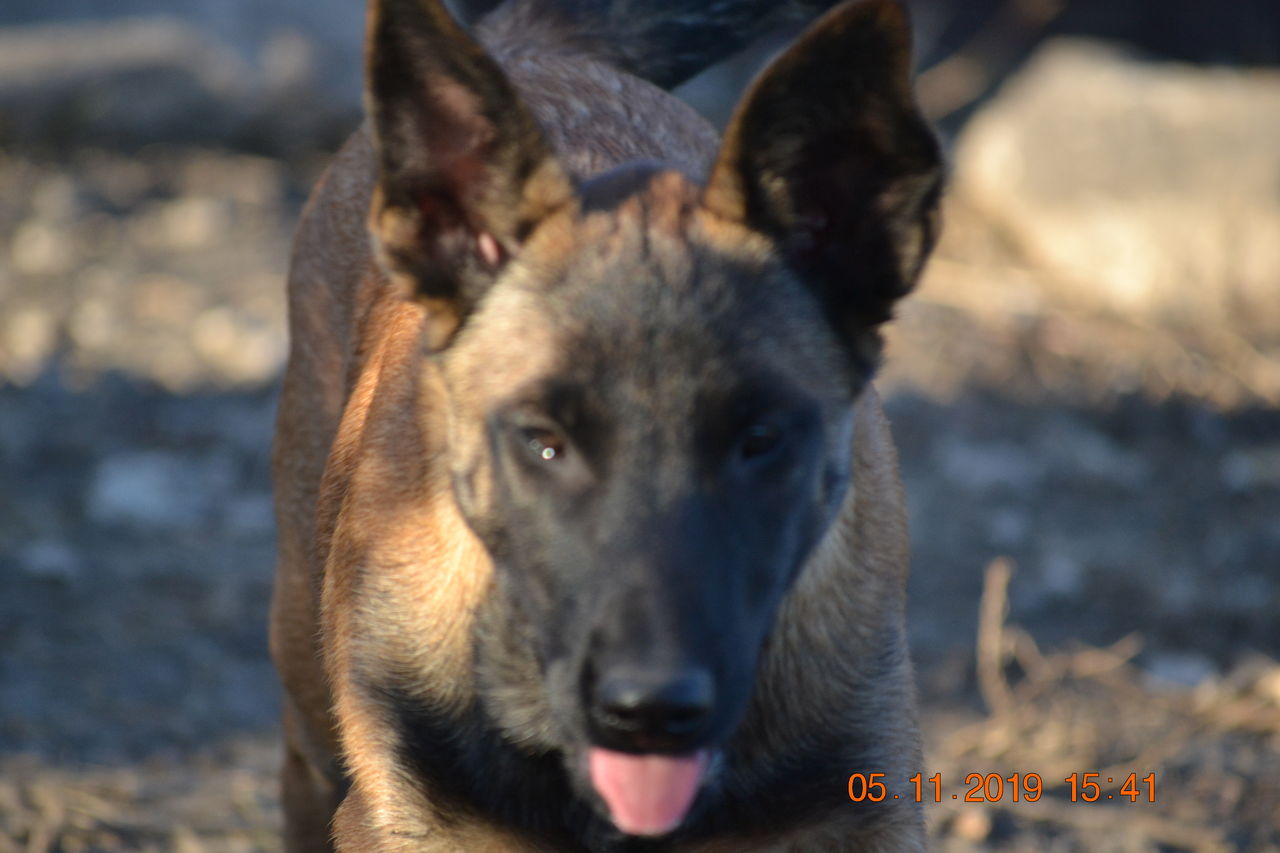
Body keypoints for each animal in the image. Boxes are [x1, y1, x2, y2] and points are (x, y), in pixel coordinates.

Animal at [272, 0, 942, 845]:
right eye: (542, 441)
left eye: (762, 441)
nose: (651, 711)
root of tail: (532, 47)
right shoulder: (402, 813)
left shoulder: (867, 803)